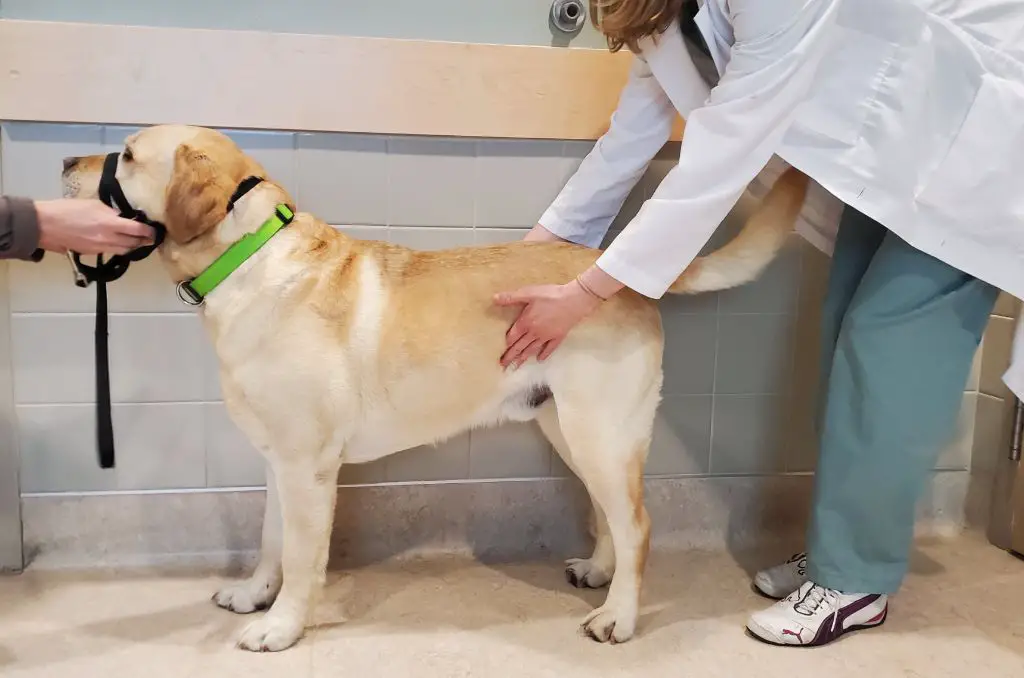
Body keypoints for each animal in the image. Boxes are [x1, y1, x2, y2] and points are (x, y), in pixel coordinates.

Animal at [61, 125, 806, 655]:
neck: (248, 260)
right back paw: (601, 576)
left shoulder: (308, 470)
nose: (65, 160)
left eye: (128, 155)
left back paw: (617, 618)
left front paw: (282, 627)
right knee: (611, 516)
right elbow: (271, 543)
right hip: (570, 431)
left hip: (599, 431)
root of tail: (613, 270)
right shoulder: (279, 463)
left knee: (640, 524)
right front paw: (254, 596)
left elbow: (301, 558)